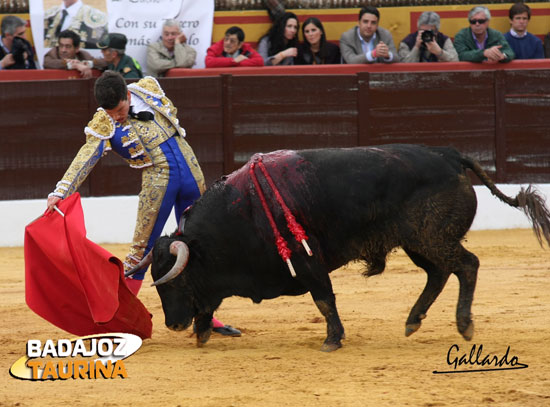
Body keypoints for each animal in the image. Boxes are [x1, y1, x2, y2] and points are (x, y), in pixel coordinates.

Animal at [134, 145, 550, 352]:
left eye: (174, 283)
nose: (172, 324)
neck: (242, 212)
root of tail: (452, 157)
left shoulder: (308, 260)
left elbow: (324, 300)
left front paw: (332, 340)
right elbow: (209, 304)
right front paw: (202, 333)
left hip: (432, 237)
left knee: (467, 265)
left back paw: (464, 325)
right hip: (419, 243)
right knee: (439, 273)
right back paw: (413, 320)